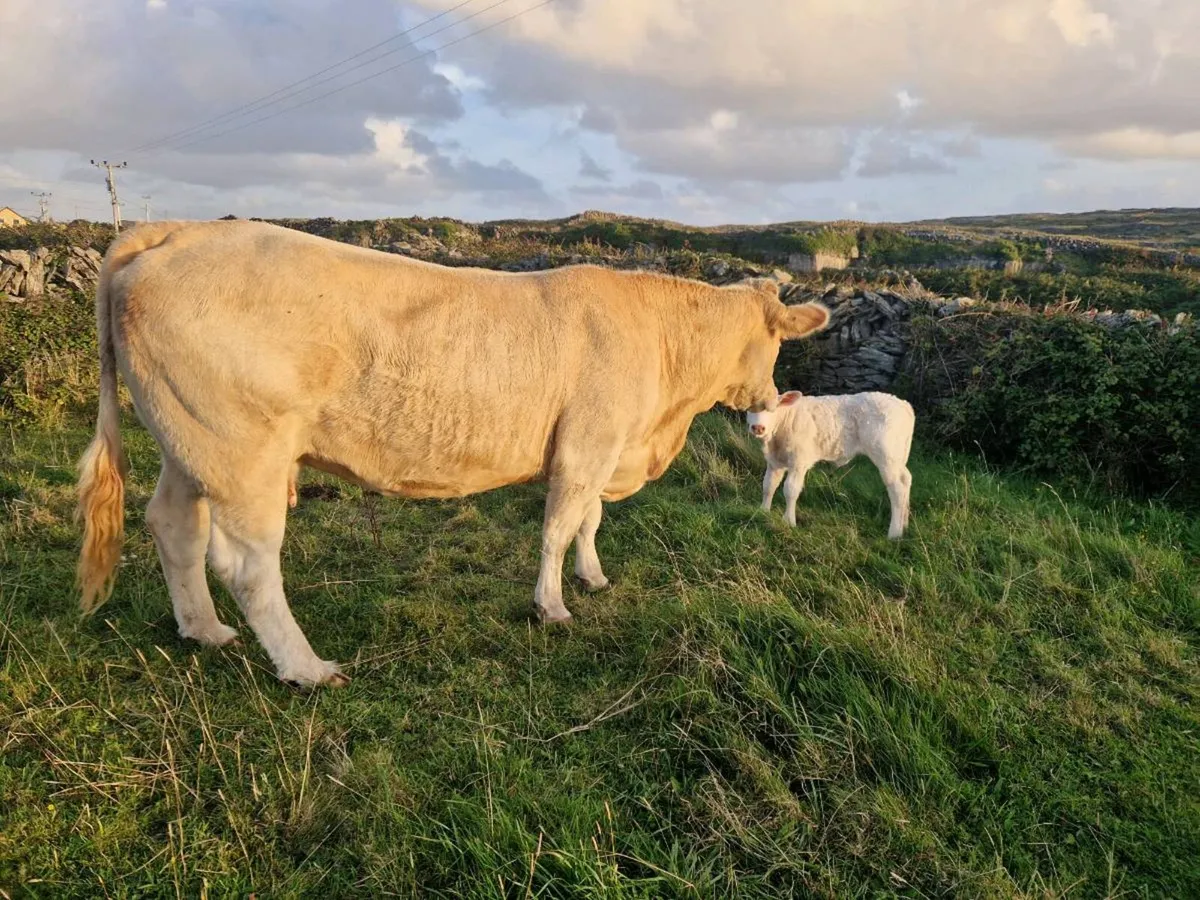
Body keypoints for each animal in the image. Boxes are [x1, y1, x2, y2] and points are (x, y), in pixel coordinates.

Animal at [75, 220, 830, 687]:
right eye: (777, 340)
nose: (770, 399)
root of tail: (180, 229)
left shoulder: (605, 446)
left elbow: (588, 522)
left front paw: (592, 577)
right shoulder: (587, 444)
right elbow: (560, 526)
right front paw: (551, 606)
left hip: (187, 445)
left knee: (174, 527)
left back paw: (204, 631)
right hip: (241, 452)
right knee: (248, 565)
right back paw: (306, 668)